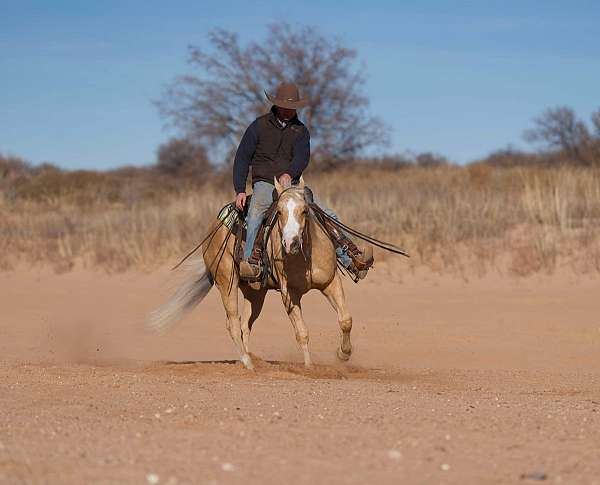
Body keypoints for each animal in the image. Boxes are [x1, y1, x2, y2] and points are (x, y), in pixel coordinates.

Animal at [149, 176, 354, 368]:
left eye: (304, 210)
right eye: (279, 212)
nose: (291, 243)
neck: (304, 257)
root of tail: (214, 228)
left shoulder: (331, 282)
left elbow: (345, 320)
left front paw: (343, 354)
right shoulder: (289, 293)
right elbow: (302, 332)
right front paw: (310, 368)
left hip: (254, 293)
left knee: (244, 325)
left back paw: (249, 358)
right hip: (227, 282)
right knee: (233, 322)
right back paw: (248, 363)